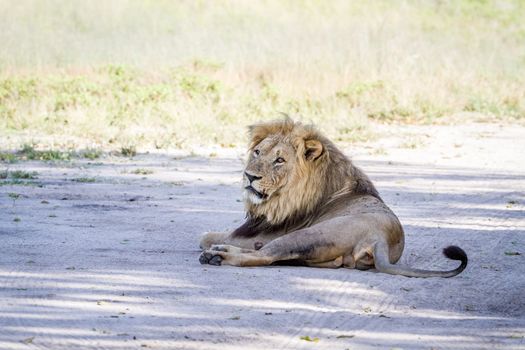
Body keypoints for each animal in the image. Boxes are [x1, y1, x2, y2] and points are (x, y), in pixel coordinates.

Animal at [198, 119, 466, 278]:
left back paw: (217, 256)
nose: (250, 176)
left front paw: (214, 243)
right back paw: (219, 251)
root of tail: (381, 239)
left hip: (305, 234)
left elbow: (205, 236)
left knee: (263, 256)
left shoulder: (264, 233)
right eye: (256, 152)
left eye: (279, 160)